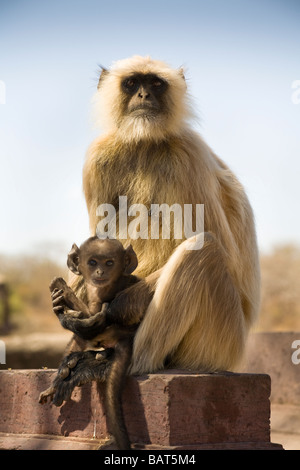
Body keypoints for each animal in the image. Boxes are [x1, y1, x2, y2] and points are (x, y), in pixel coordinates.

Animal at [39, 237, 143, 450]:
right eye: (93, 262)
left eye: (110, 263)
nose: (100, 272)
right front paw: (61, 301)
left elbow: (97, 315)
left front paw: (66, 294)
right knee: (80, 338)